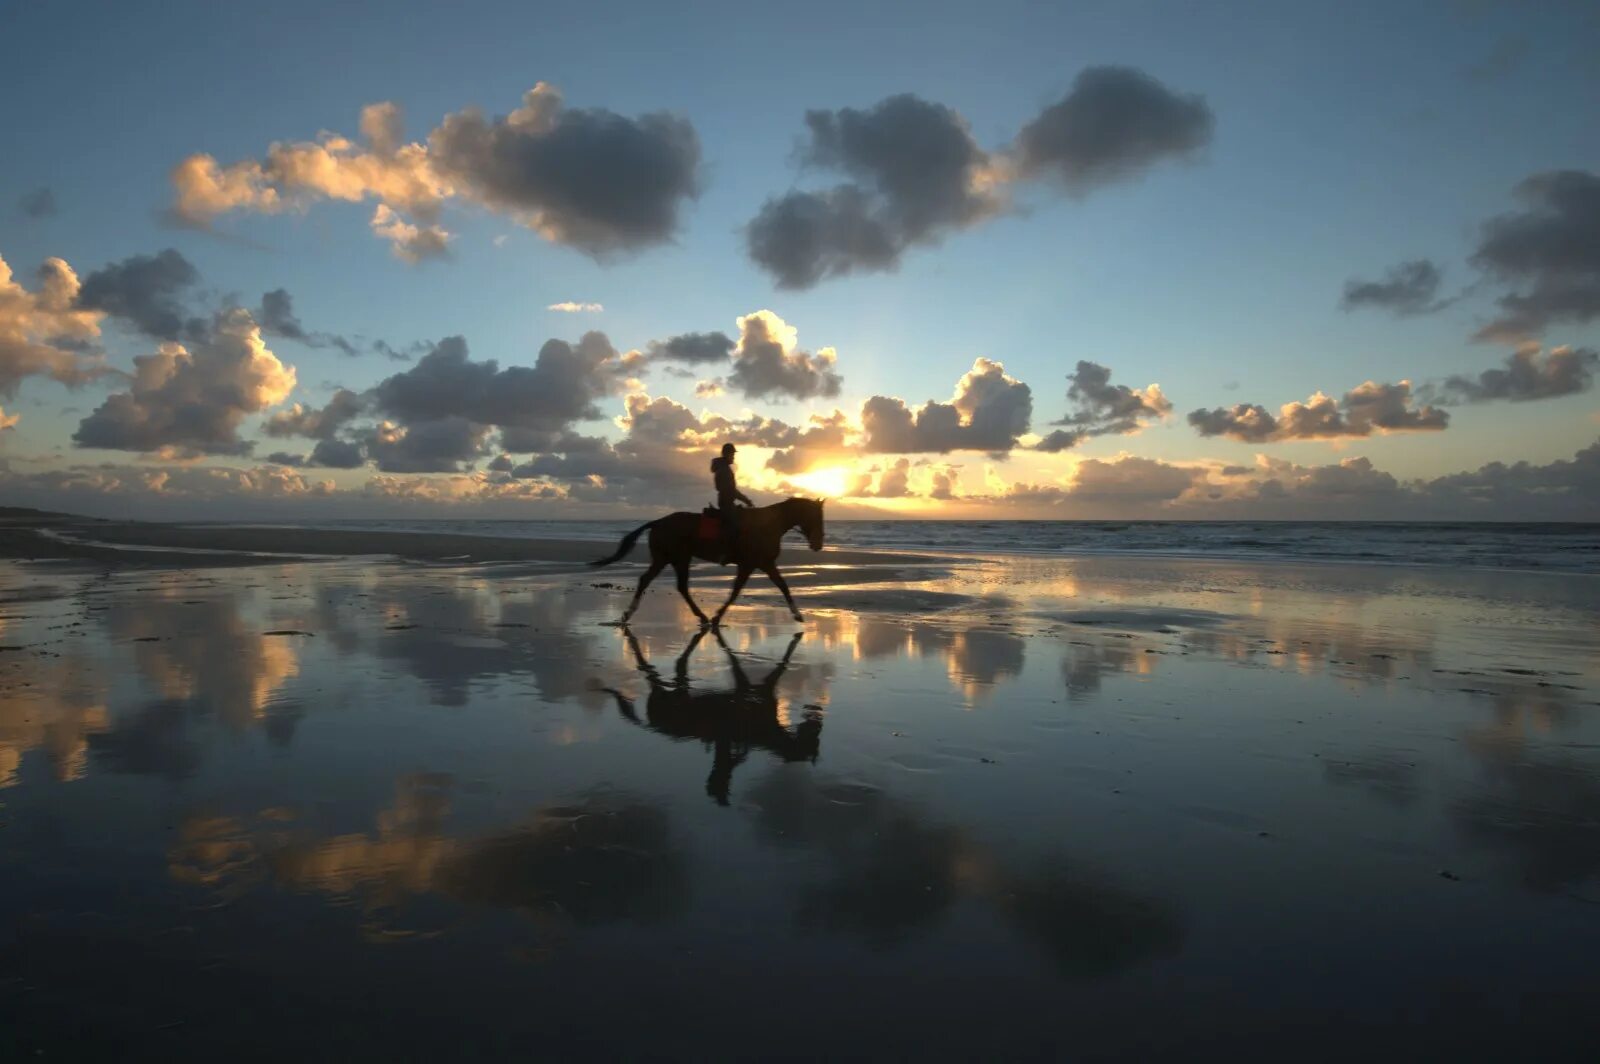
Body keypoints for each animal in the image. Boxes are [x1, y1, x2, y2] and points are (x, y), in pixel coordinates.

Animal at [595, 496, 832, 627]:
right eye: (816, 517)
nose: (818, 544)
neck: (768, 524)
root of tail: (658, 522)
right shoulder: (754, 564)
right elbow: (747, 590)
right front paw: (798, 614)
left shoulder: (760, 564)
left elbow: (778, 586)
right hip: (676, 558)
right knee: (668, 584)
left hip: (669, 558)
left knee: (660, 582)